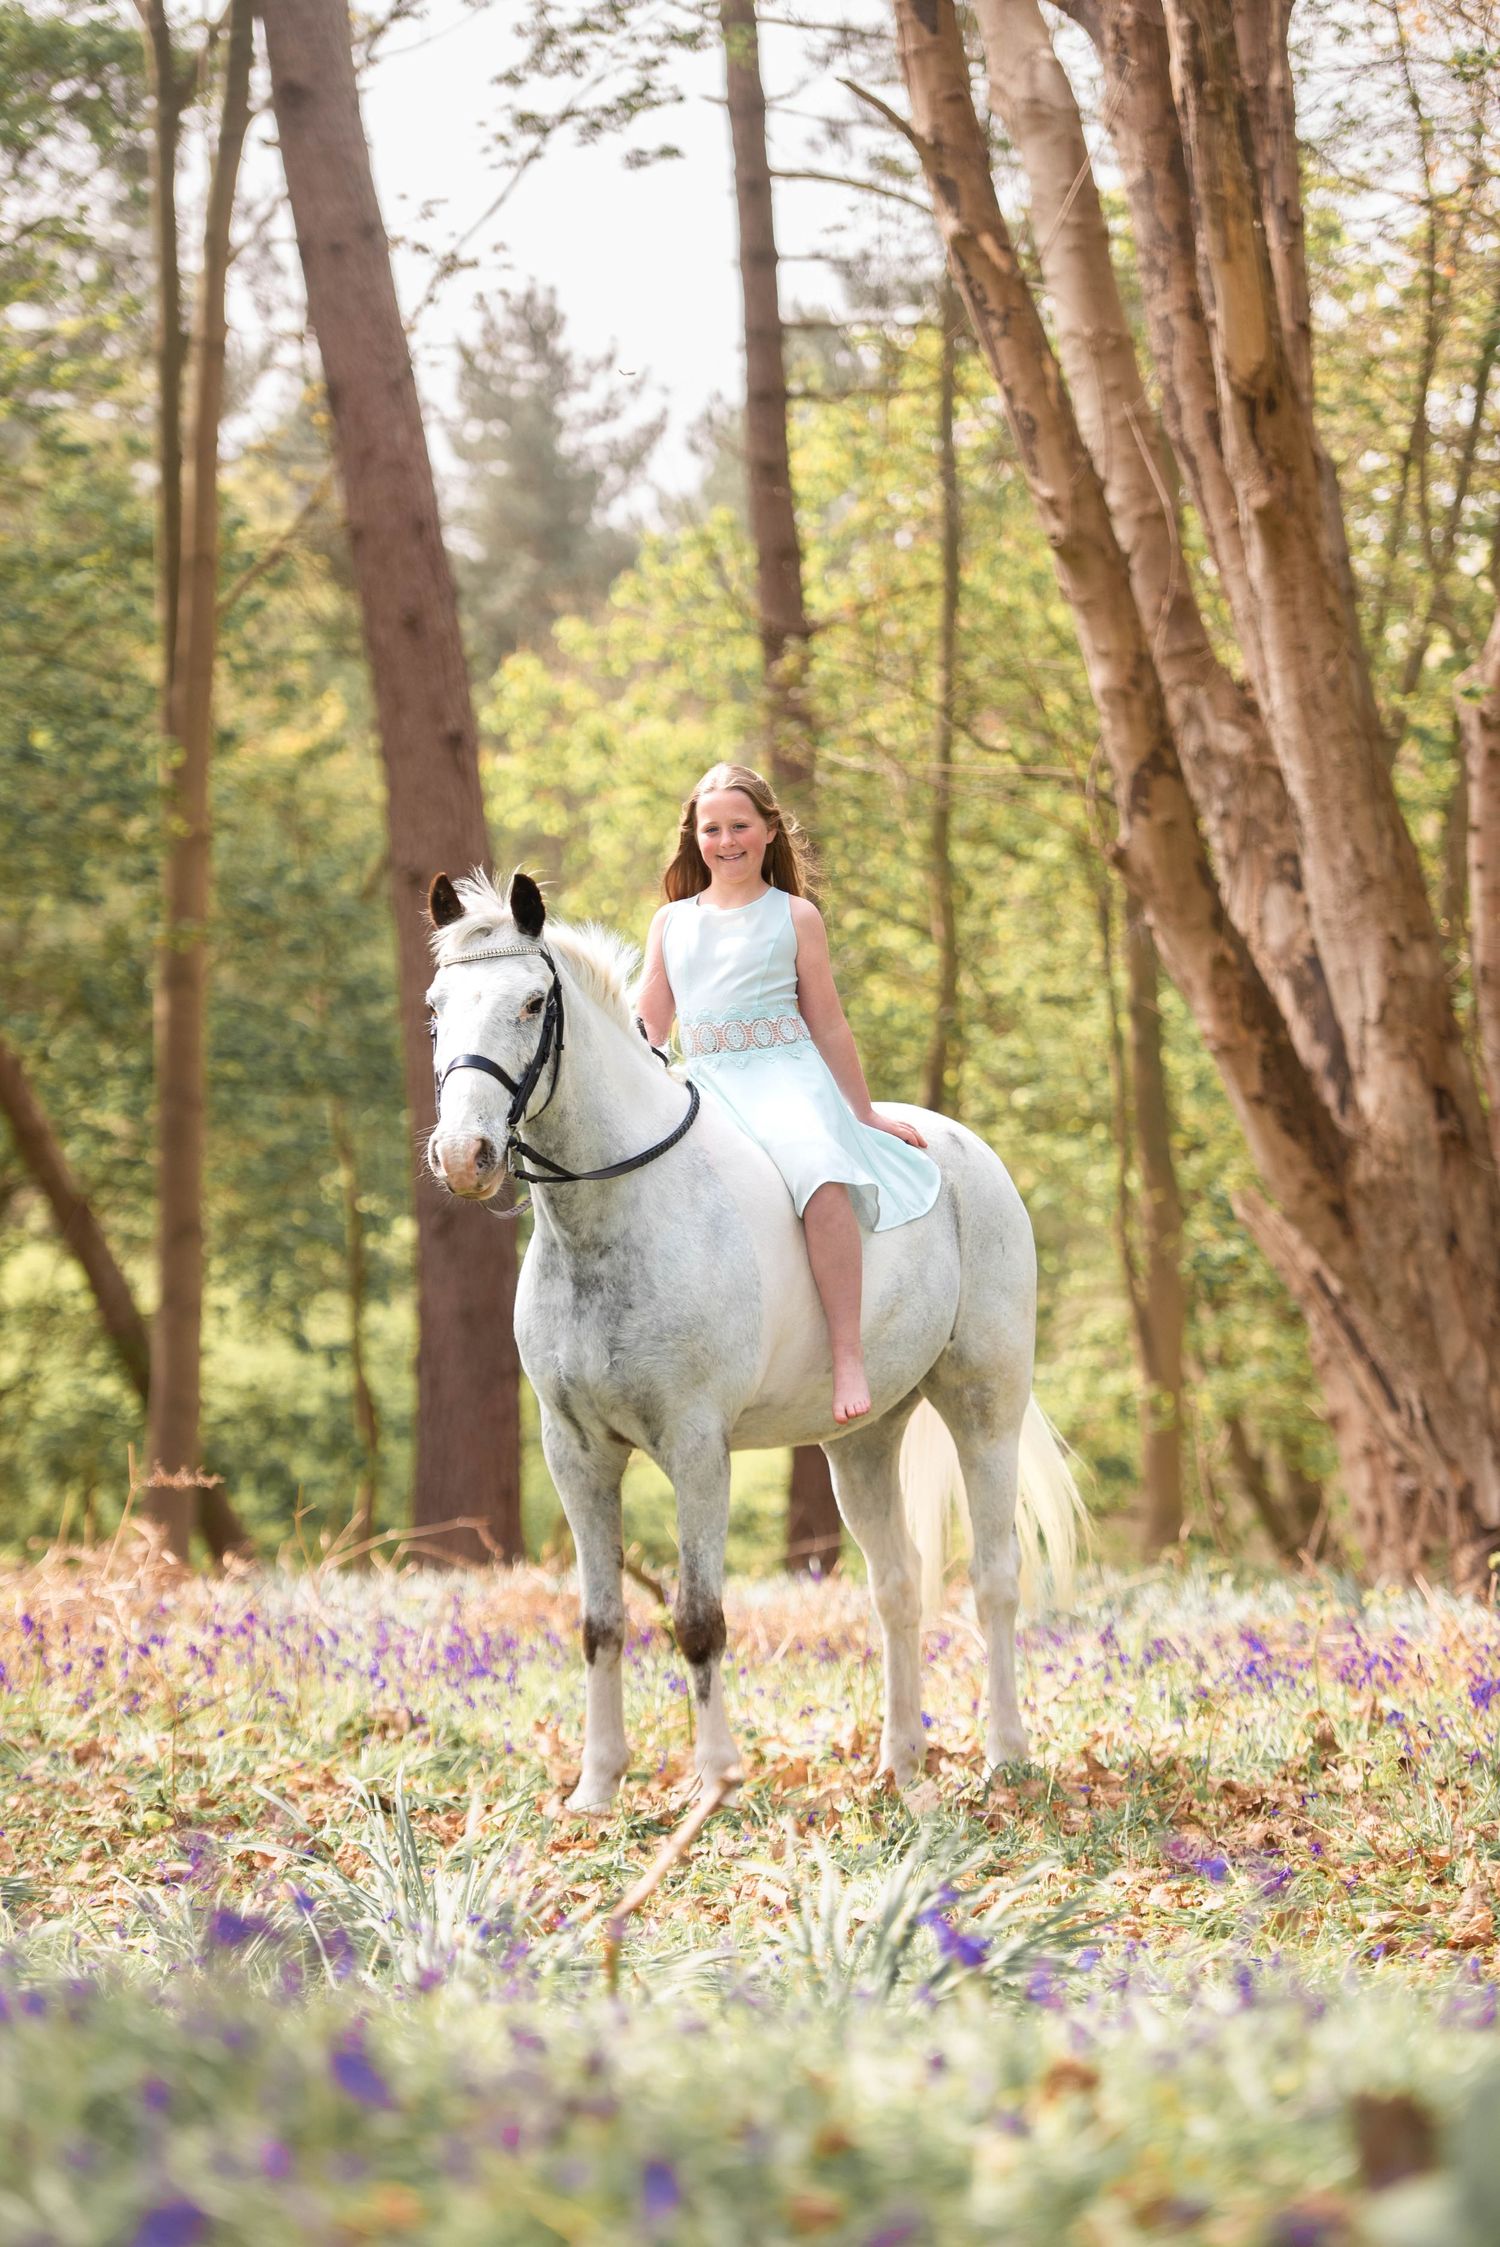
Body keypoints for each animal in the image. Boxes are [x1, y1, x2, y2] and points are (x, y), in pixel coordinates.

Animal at [424, 869, 1082, 1810]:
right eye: (437, 1007)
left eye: (532, 1001)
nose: (465, 1155)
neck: (610, 1218)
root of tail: (962, 1145)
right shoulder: (574, 1451)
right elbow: (600, 1621)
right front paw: (596, 1789)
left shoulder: (698, 1446)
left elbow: (699, 1620)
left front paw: (712, 1785)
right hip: (862, 1442)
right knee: (897, 1586)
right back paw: (900, 1764)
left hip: (983, 1409)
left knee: (994, 1578)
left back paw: (1006, 1758)